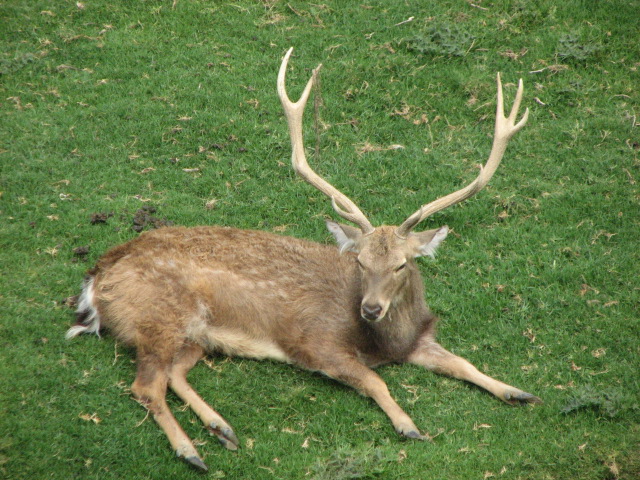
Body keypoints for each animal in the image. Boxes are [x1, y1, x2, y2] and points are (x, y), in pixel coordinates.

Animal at [66, 47, 540, 472]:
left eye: (402, 264)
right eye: (360, 262)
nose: (371, 308)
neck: (383, 340)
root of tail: (95, 279)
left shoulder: (417, 340)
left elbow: (463, 362)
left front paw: (518, 392)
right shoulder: (314, 341)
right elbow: (374, 379)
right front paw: (408, 425)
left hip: (194, 336)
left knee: (172, 375)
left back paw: (222, 429)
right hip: (158, 318)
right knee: (145, 385)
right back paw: (191, 452)